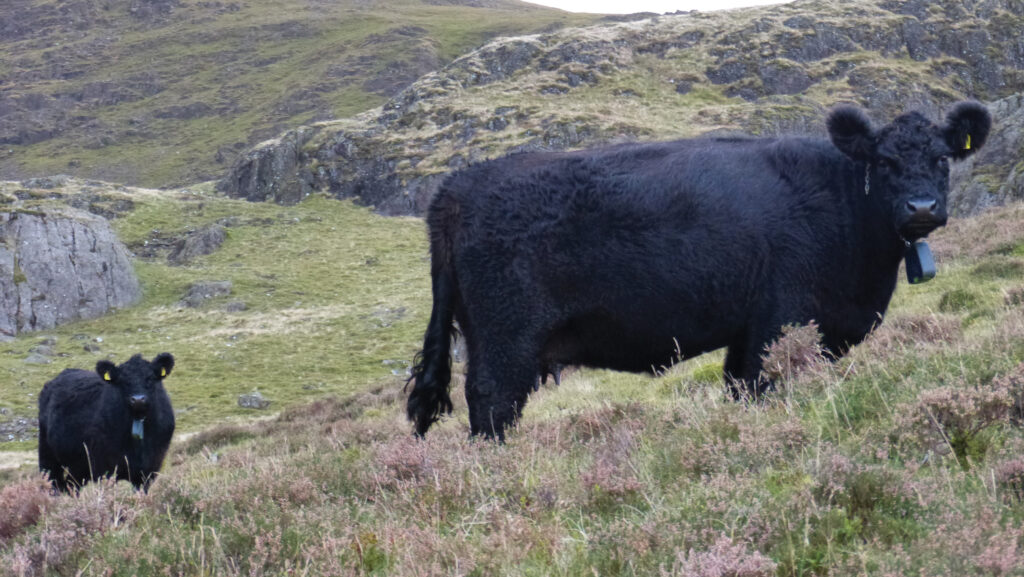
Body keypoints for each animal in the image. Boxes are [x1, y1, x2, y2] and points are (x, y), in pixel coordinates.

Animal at [38, 352, 176, 491]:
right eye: (122, 381)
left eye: (150, 378)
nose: (138, 399)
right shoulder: (104, 468)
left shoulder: (149, 468)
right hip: (47, 454)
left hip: (79, 466)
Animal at [407, 102, 991, 438]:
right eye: (884, 162)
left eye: (942, 159)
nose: (921, 207)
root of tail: (458, 186)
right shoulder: (780, 321)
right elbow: (759, 385)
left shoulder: (753, 332)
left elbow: (737, 387)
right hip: (507, 340)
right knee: (492, 404)